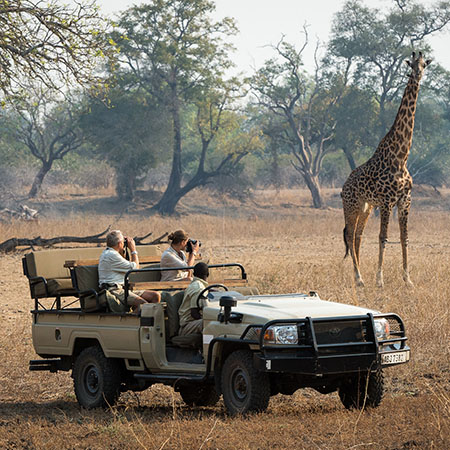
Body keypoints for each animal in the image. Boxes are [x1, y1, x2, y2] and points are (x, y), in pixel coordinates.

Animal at [342, 51, 432, 286]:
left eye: (424, 64)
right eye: (411, 65)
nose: (418, 75)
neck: (401, 157)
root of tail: (344, 186)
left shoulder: (405, 200)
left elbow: (404, 237)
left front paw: (408, 280)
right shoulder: (386, 201)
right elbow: (383, 237)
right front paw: (380, 280)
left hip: (365, 207)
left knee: (357, 236)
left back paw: (359, 276)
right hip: (351, 205)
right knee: (349, 235)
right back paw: (359, 278)